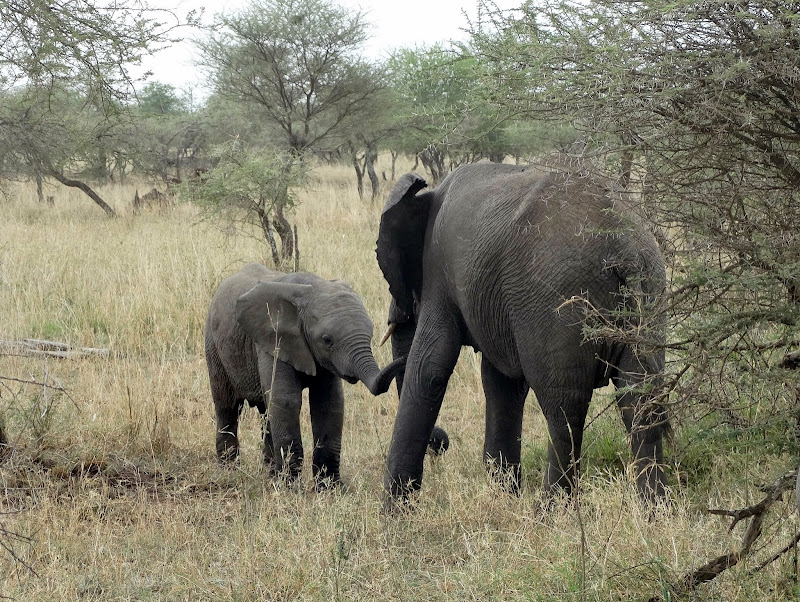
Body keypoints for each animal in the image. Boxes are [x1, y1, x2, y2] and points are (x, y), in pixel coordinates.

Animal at [206, 260, 406, 486]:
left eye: (371, 335)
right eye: (327, 340)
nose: (404, 358)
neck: (310, 290)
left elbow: (329, 403)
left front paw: (330, 488)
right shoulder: (275, 340)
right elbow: (286, 400)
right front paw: (290, 487)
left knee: (265, 411)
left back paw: (269, 472)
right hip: (213, 343)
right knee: (227, 405)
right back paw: (229, 470)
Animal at [378, 161, 664, 506]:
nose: (442, 443)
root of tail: (624, 248)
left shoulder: (438, 275)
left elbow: (428, 369)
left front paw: (394, 513)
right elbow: (502, 384)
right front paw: (504, 496)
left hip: (556, 300)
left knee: (563, 409)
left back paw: (553, 512)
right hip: (649, 292)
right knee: (640, 400)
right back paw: (656, 511)